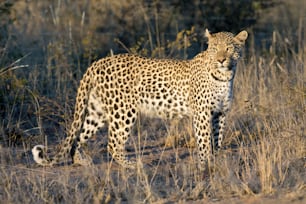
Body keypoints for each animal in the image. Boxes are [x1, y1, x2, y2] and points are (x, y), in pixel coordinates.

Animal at [31, 28, 247, 169]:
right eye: (214, 48)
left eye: (229, 48)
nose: (221, 59)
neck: (224, 76)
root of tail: (97, 63)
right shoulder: (202, 114)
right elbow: (204, 141)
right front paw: (205, 165)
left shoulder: (220, 113)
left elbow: (217, 139)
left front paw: (215, 160)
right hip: (123, 112)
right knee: (112, 143)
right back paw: (132, 165)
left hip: (97, 111)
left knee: (78, 137)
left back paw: (81, 161)